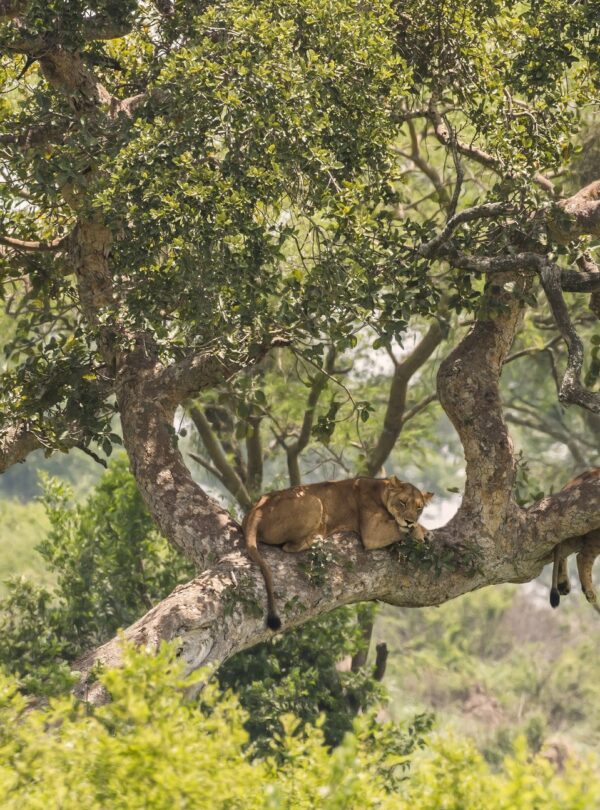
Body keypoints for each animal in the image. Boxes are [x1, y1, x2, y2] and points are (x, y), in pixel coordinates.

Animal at [242, 475, 433, 630]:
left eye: (419, 508)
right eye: (403, 502)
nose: (409, 520)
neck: (381, 490)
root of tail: (256, 508)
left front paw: (424, 530)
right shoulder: (372, 532)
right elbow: (400, 528)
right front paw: (418, 532)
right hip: (314, 500)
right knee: (289, 546)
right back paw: (318, 537)